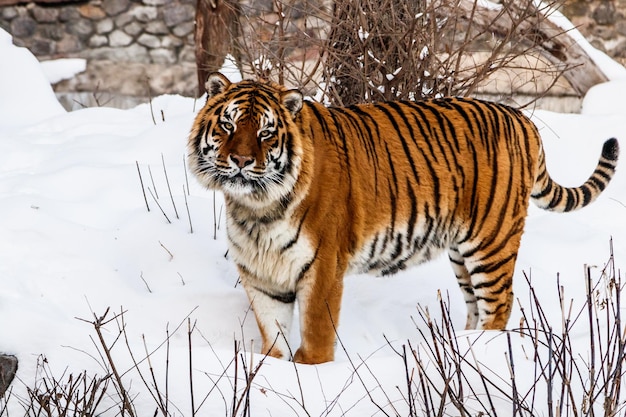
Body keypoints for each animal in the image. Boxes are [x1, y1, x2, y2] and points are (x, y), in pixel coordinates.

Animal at [185, 72, 616, 364]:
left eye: (266, 133)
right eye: (228, 124)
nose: (241, 161)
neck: (257, 208)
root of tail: (522, 119)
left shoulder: (322, 267)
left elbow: (316, 338)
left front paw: (311, 373)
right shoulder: (262, 276)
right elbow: (272, 338)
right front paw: (273, 369)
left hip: (491, 243)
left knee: (500, 304)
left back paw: (481, 354)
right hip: (462, 253)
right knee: (476, 306)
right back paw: (462, 347)